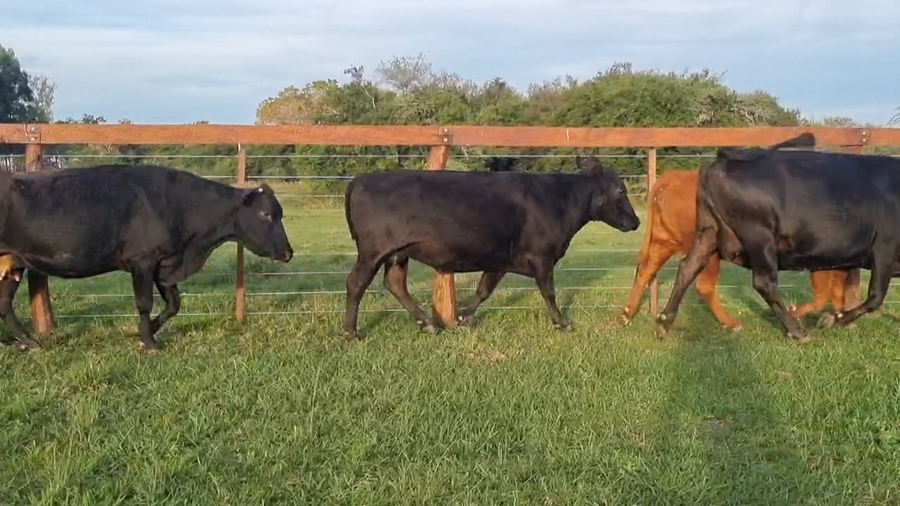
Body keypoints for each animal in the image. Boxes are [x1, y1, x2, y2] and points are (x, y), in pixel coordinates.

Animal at [0, 164, 294, 351]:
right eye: (265, 214)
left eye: (280, 213)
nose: (288, 252)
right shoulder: (142, 261)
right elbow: (144, 303)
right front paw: (149, 341)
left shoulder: (165, 265)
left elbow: (174, 304)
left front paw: (145, 331)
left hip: (12, 263)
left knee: (4, 304)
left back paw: (29, 343)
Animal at [342, 156, 641, 338]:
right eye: (621, 191)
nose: (637, 221)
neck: (560, 199)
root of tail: (362, 178)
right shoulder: (542, 256)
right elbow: (549, 292)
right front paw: (561, 323)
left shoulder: (500, 259)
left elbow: (483, 290)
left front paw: (463, 317)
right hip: (373, 251)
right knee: (356, 284)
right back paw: (351, 332)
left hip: (397, 253)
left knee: (395, 283)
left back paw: (427, 324)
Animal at [620, 168, 861, 330]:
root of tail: (675, 176)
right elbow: (823, 293)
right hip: (708, 250)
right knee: (702, 285)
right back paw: (731, 323)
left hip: (664, 242)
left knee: (645, 270)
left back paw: (626, 314)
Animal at [655, 132, 895, 343]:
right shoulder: (884, 248)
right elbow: (875, 296)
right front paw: (833, 319)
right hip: (759, 237)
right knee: (764, 282)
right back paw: (797, 332)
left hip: (709, 231)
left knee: (687, 268)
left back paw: (664, 321)